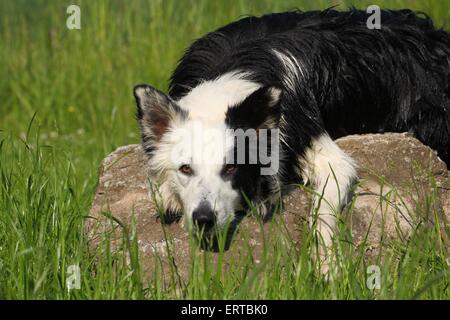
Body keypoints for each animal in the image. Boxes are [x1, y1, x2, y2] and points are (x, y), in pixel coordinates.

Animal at [134, 9, 450, 252]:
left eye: (232, 168)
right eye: (185, 169)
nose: (204, 218)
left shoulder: (319, 146)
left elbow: (323, 215)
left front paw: (325, 268)